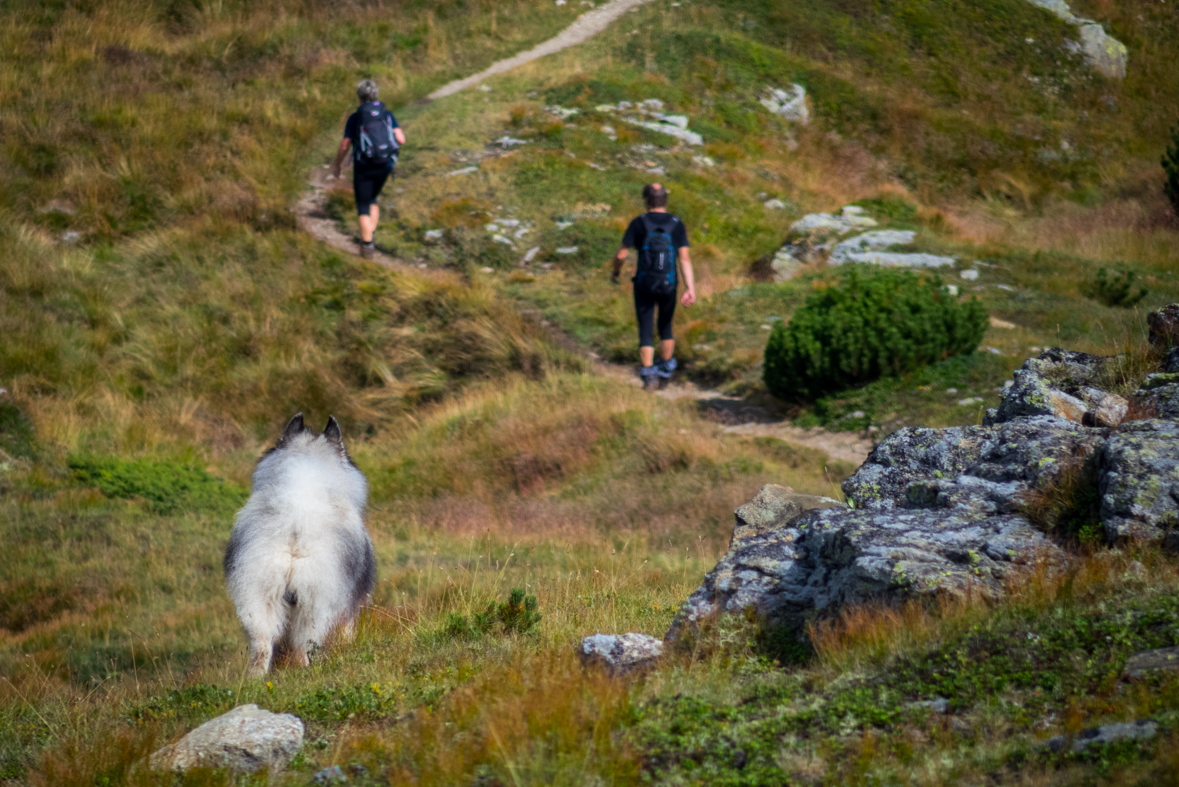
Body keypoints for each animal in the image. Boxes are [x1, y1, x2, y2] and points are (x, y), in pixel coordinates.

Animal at [222, 412, 374, 678]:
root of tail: (294, 529)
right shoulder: (349, 600)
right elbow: (347, 630)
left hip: (259, 594)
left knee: (262, 643)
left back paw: (255, 678)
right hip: (314, 603)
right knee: (304, 645)